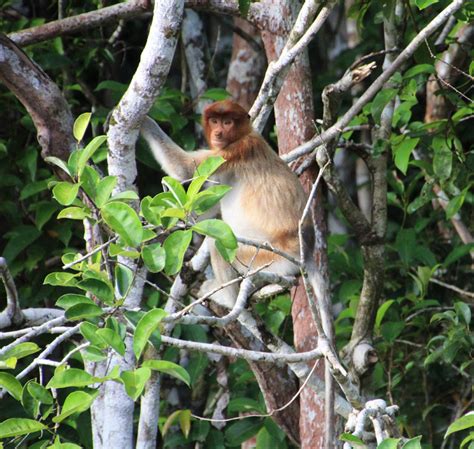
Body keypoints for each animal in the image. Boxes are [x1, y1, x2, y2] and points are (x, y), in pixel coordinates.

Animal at [139, 100, 314, 306]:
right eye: (214, 121)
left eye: (227, 122)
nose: (217, 134)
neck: (244, 134)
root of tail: (304, 251)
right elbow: (205, 208)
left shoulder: (234, 151)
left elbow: (185, 168)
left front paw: (143, 120)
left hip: (268, 258)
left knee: (217, 243)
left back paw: (227, 300)